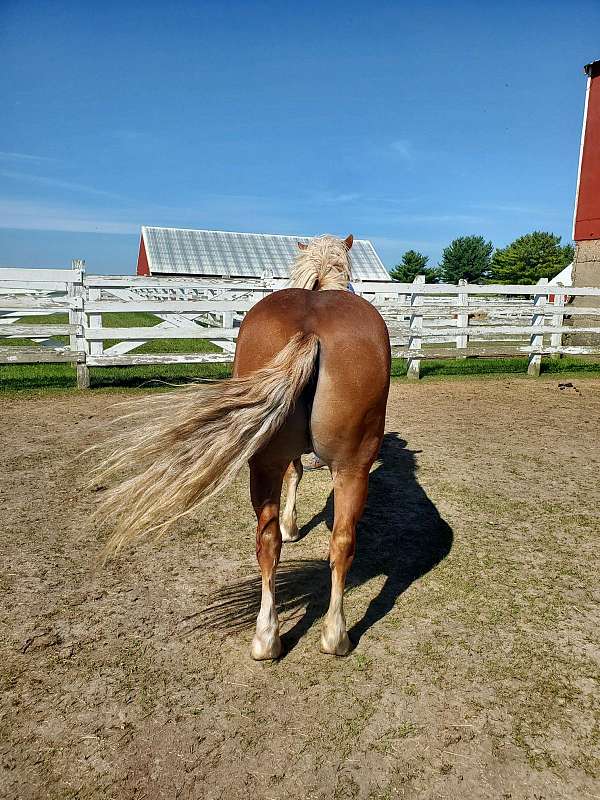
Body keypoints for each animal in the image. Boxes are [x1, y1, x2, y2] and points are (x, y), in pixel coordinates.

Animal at [96, 234, 392, 660]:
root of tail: (311, 331)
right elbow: (297, 474)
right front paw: (292, 526)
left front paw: (291, 525)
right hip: (337, 465)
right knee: (326, 541)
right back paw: (310, 637)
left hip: (311, 463)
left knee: (285, 541)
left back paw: (292, 637)